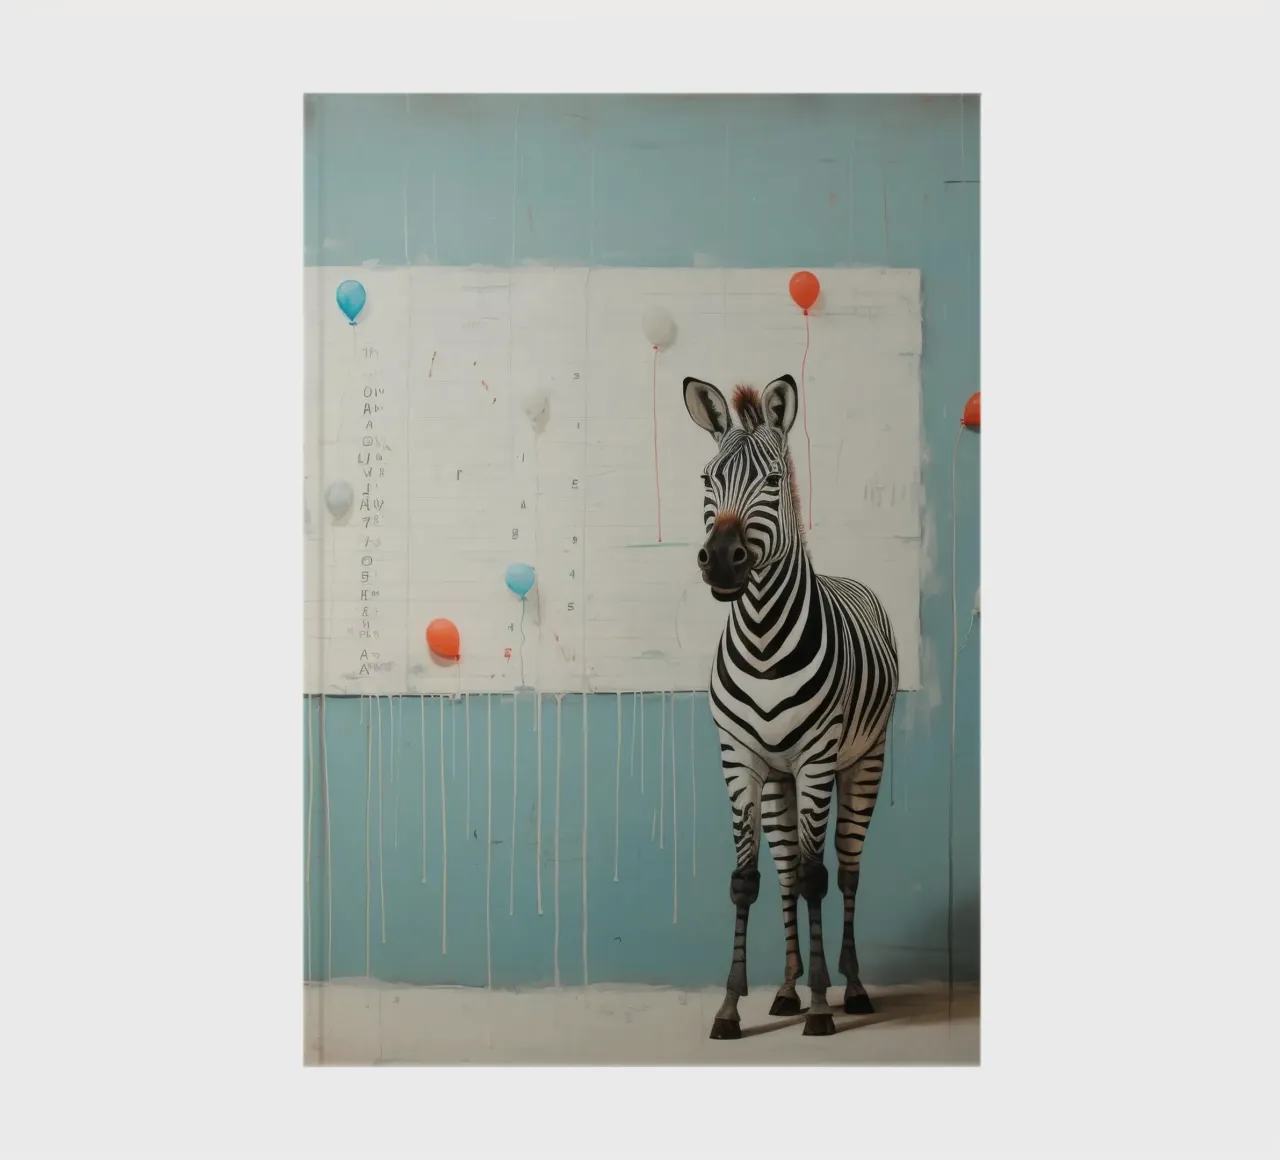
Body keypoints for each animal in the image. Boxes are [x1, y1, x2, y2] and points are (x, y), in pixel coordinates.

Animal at [682, 374, 899, 1039]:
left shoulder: (816, 760)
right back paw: (783, 989)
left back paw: (851, 987)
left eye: (773, 481)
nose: (721, 560)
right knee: (782, 871)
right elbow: (747, 880)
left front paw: (823, 1006)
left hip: (862, 763)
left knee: (846, 867)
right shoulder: (739, 761)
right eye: (708, 478)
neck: (760, 638)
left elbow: (815, 877)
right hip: (779, 779)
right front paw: (732, 1006)